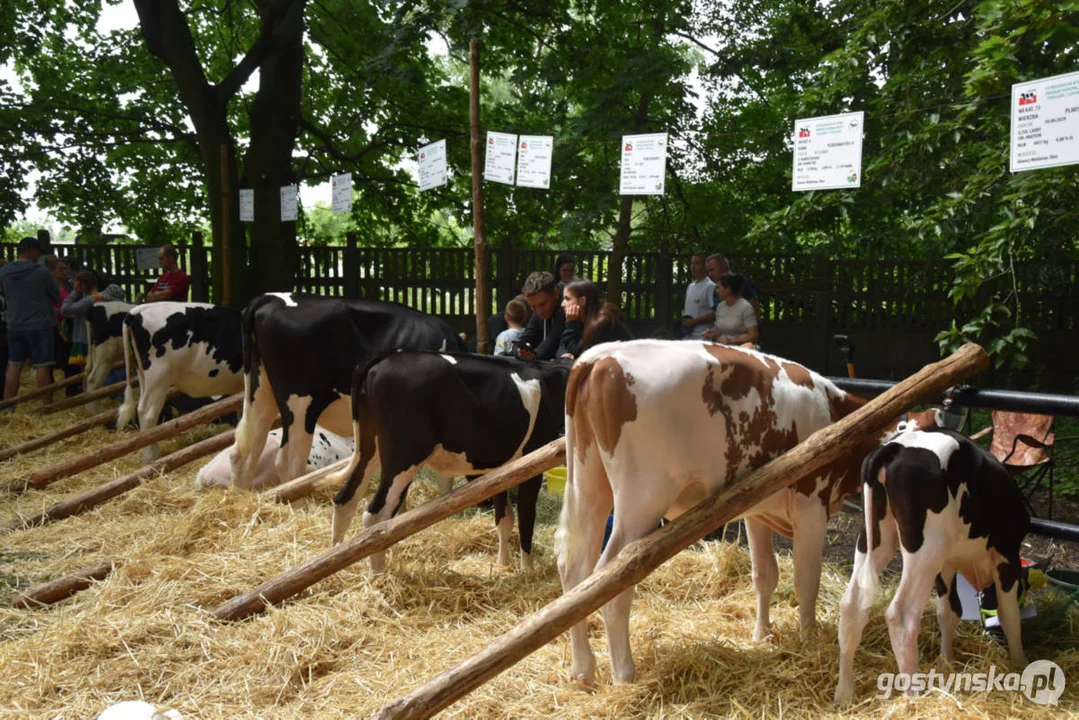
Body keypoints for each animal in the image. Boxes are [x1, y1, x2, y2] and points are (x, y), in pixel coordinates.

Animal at [328, 351, 569, 569]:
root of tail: (384, 357)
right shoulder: (533, 460)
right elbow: (526, 518)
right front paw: (527, 570)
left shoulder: (502, 470)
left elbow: (504, 519)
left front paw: (503, 566)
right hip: (403, 457)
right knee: (376, 518)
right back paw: (378, 575)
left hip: (370, 448)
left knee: (345, 500)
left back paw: (338, 560)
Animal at [556, 338, 927, 686]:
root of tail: (602, 356)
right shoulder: (811, 505)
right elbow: (807, 578)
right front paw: (808, 642)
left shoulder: (755, 509)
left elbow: (764, 575)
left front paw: (761, 635)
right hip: (641, 501)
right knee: (612, 576)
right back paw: (624, 673)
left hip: (589, 484)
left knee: (575, 572)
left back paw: (582, 670)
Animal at [832, 427, 1027, 703]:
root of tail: (898, 446)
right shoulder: (1007, 556)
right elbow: (1009, 616)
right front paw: (1020, 663)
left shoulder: (946, 563)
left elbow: (949, 611)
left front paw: (947, 661)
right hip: (926, 550)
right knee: (901, 614)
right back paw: (914, 692)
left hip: (876, 538)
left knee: (852, 605)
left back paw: (844, 693)